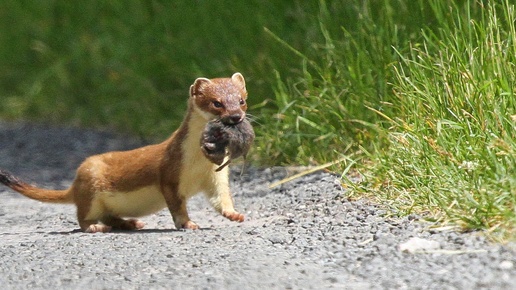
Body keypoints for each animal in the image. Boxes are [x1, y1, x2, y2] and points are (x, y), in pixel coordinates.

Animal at [0, 72, 250, 233]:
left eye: (241, 100)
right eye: (216, 103)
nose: (235, 117)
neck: (198, 164)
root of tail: (75, 183)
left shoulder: (216, 176)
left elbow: (221, 198)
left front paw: (235, 214)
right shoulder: (169, 174)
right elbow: (177, 207)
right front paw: (188, 224)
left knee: (109, 215)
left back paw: (131, 223)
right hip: (91, 187)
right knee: (83, 215)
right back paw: (95, 227)